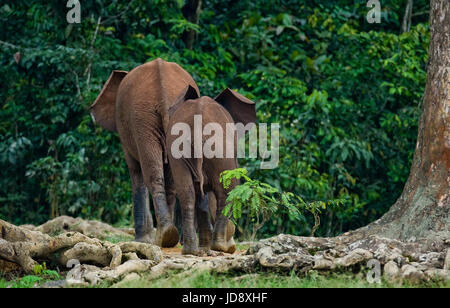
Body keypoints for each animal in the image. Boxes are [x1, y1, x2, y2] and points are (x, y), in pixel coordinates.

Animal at [89, 57, 199, 247]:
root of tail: (163, 92)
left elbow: (134, 170)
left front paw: (142, 240)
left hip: (142, 119)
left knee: (151, 175)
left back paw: (163, 236)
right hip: (159, 119)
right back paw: (168, 236)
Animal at [166, 85, 256, 255]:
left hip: (179, 147)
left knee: (187, 192)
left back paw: (191, 251)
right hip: (218, 147)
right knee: (226, 191)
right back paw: (221, 247)